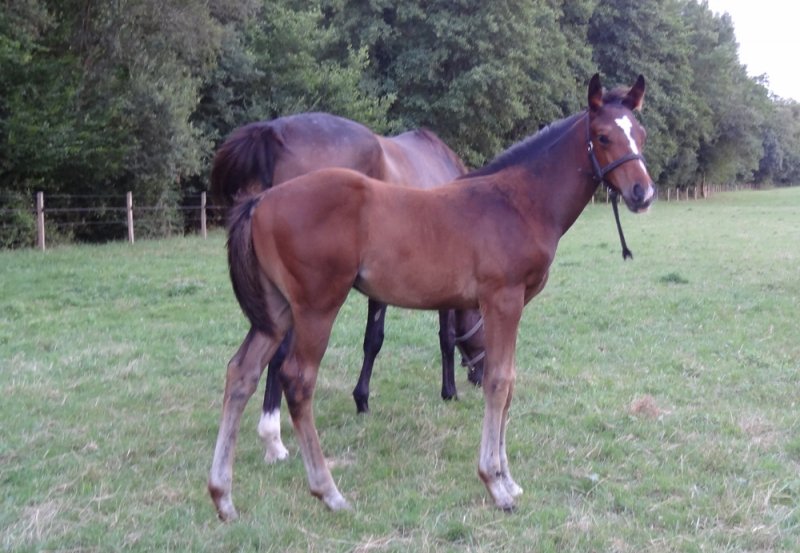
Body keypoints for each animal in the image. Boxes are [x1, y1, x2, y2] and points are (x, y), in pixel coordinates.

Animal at [210, 113, 487, 464]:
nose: (480, 376)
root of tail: (272, 132)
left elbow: (374, 340)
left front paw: (361, 399)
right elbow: (442, 337)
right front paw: (448, 391)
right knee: (280, 356)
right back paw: (274, 438)